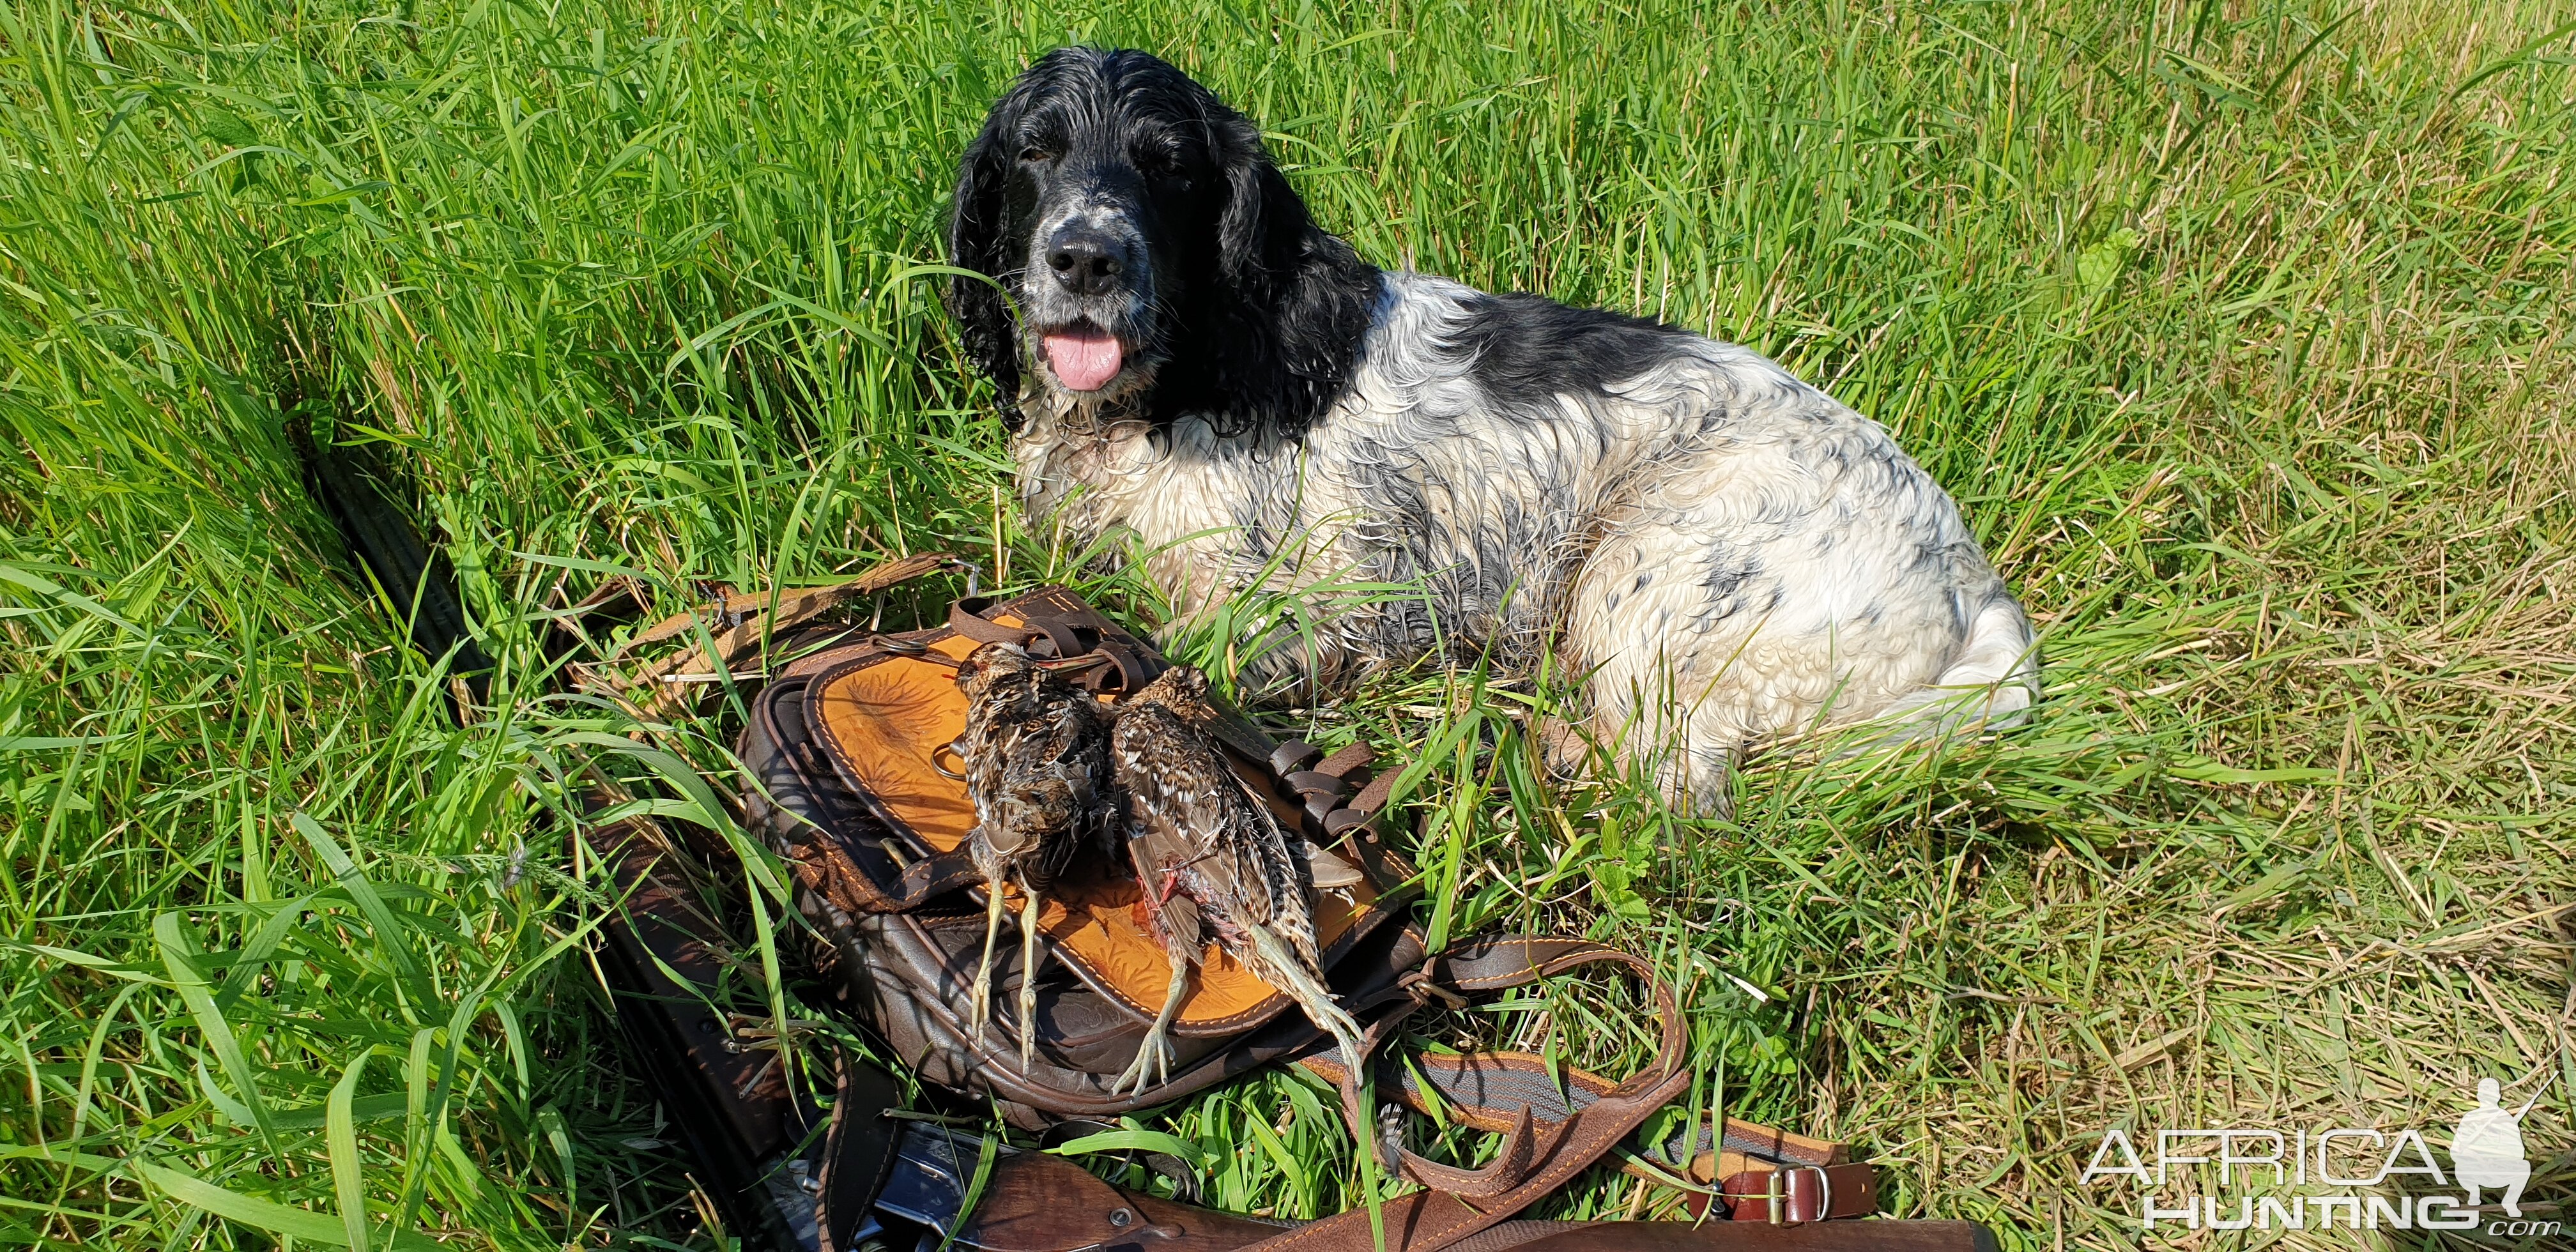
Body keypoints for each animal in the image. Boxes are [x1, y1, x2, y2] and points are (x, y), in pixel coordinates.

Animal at [947, 46, 2030, 814]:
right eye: (1035, 150)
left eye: (1169, 167)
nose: (1086, 258)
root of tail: (1973, 587)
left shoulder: (1316, 608)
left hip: (1653, 570)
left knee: (1674, 784)